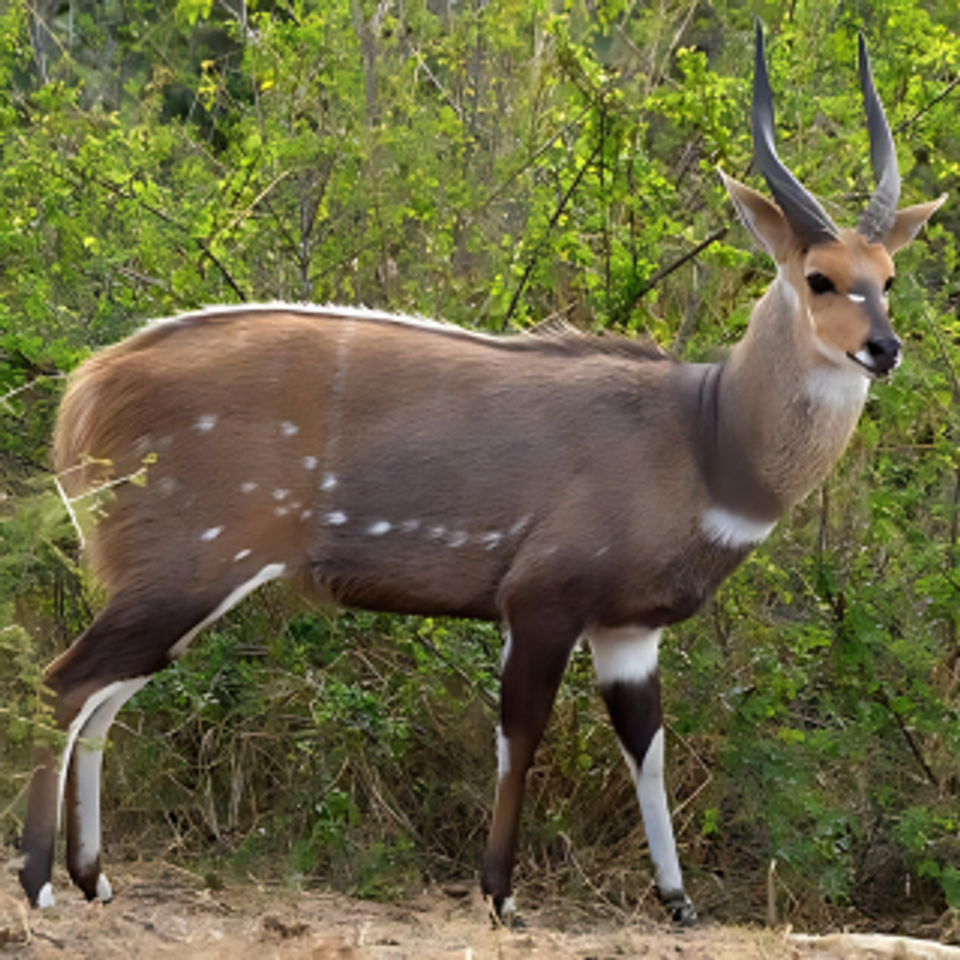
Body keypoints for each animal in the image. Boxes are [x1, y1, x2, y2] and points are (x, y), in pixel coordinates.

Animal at [18, 24, 940, 924]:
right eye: (819, 278)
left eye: (889, 279)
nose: (884, 349)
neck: (708, 439)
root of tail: (87, 389)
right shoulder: (541, 596)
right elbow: (520, 733)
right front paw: (500, 894)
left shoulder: (628, 629)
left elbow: (646, 742)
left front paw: (678, 901)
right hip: (188, 564)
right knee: (67, 682)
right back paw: (40, 884)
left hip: (175, 580)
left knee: (108, 694)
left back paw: (95, 879)